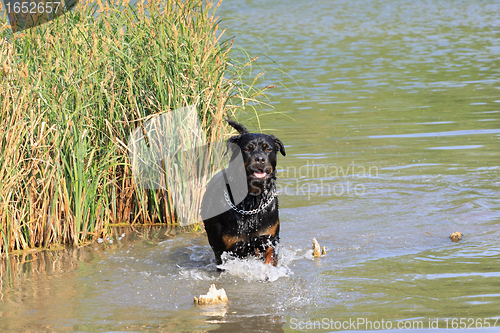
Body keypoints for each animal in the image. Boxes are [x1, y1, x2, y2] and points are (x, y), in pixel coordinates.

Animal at [200, 118, 286, 266]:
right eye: (247, 149)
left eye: (268, 149)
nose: (260, 159)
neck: (251, 201)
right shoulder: (224, 249)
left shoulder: (269, 238)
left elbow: (271, 257)